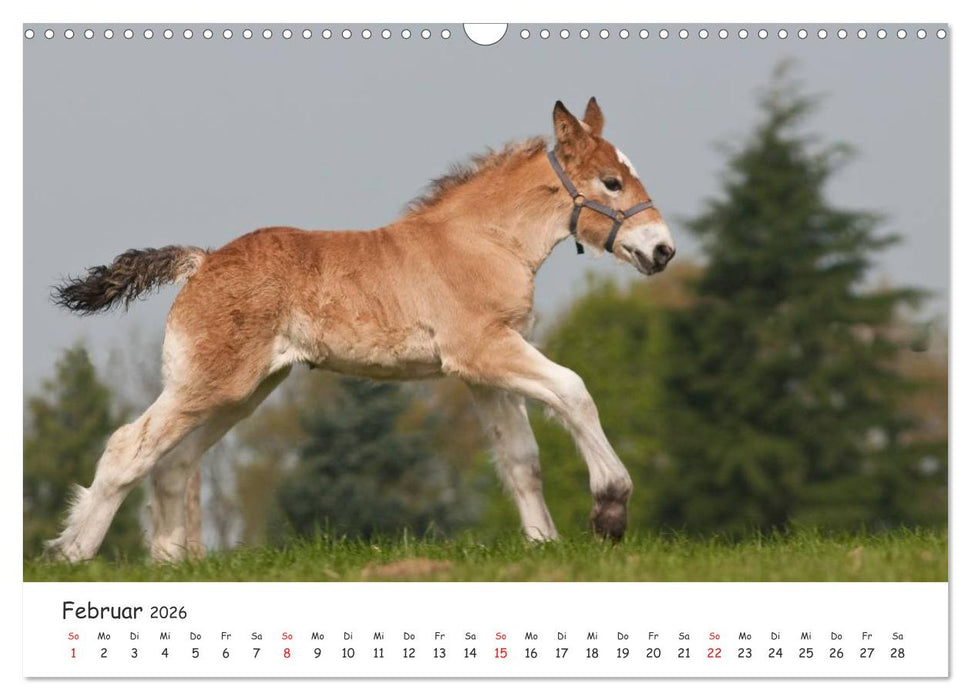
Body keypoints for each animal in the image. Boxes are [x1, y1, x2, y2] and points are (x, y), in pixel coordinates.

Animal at [48, 98, 675, 562]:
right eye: (612, 182)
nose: (662, 250)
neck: (482, 241)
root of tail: (201, 262)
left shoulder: (484, 371)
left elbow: (521, 459)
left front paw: (543, 545)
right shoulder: (486, 350)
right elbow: (573, 390)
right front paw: (610, 510)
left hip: (242, 392)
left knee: (173, 462)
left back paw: (170, 563)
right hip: (208, 384)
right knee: (128, 448)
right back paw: (73, 554)